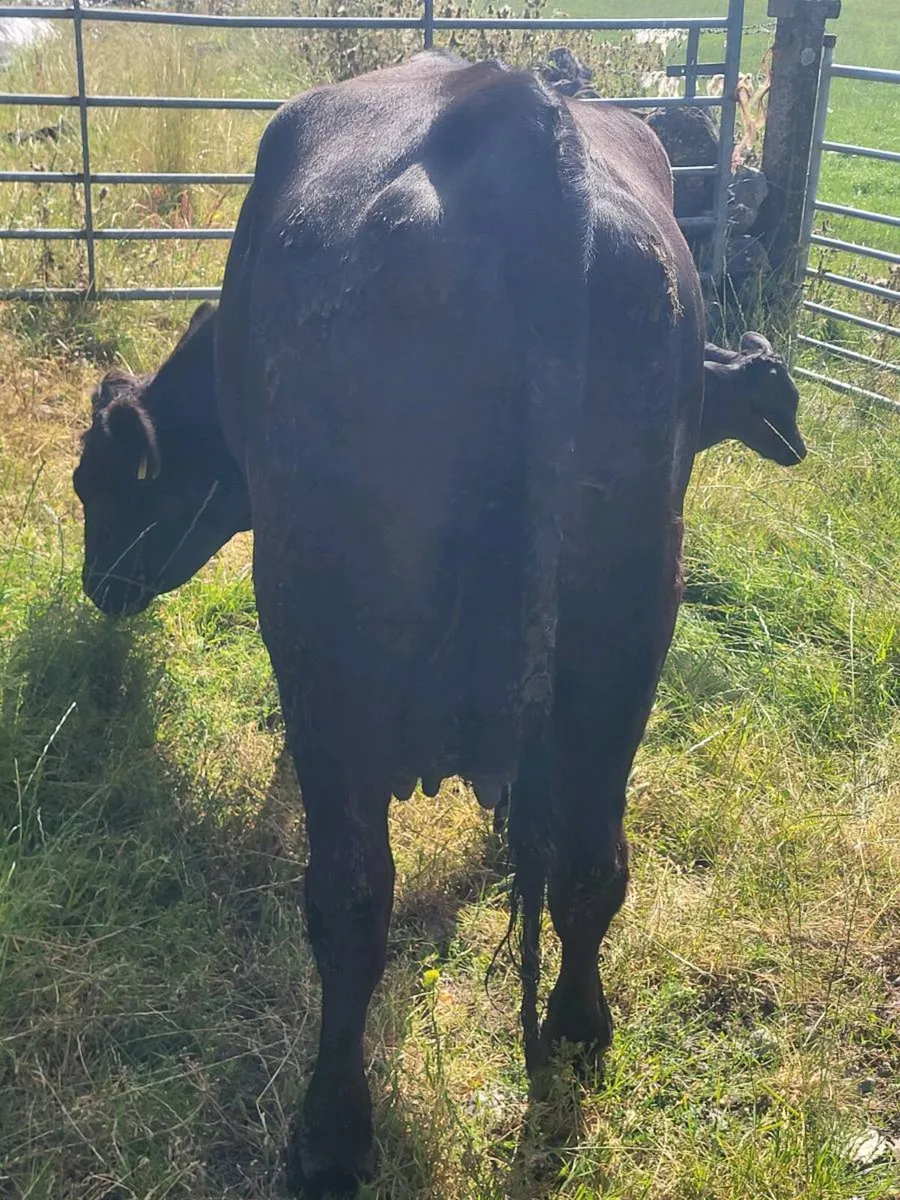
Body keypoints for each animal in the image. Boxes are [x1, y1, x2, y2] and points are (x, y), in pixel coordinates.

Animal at [73, 53, 705, 1196]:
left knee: (350, 899)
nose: (101, 588)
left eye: (94, 481)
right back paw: (577, 1039)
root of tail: (512, 116)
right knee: (591, 859)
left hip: (331, 619)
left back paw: (330, 1135)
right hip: (631, 608)